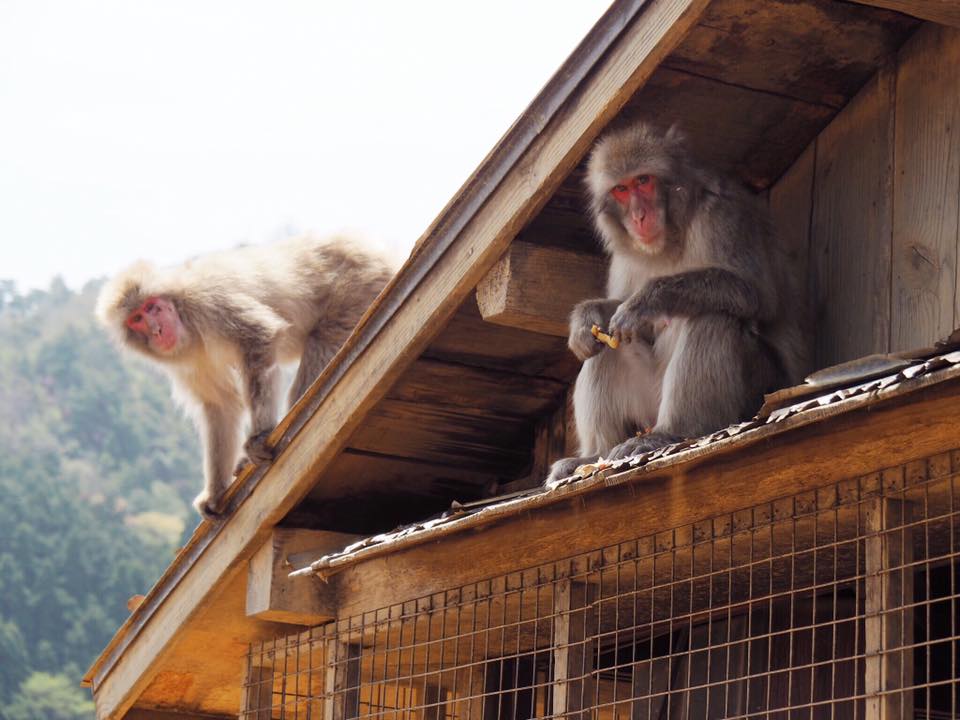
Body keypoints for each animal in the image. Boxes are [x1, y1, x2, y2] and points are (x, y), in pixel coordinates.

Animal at [548, 124, 808, 484]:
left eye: (643, 181)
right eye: (621, 189)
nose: (638, 216)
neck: (669, 236)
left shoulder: (722, 216)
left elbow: (755, 294)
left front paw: (648, 300)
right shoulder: (623, 255)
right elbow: (614, 322)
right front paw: (586, 318)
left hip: (760, 388)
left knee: (714, 316)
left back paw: (671, 432)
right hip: (647, 403)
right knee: (607, 346)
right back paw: (595, 453)